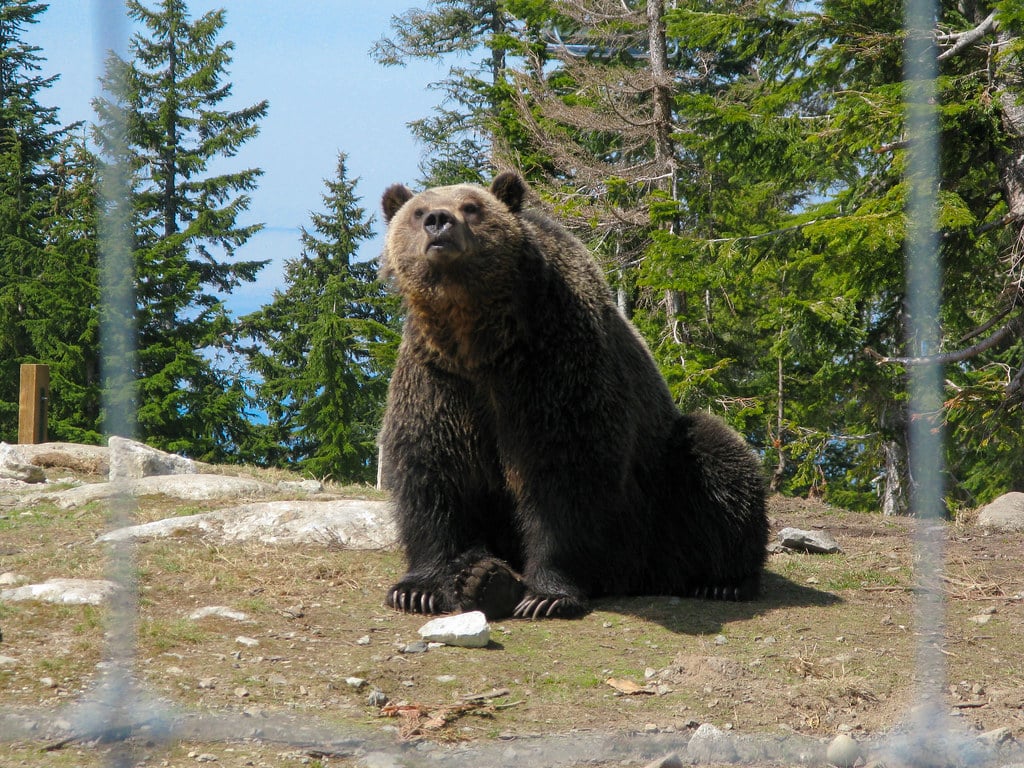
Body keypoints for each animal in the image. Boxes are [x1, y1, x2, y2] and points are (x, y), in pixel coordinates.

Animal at [378, 172, 768, 620]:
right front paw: (417, 589)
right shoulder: (438, 380)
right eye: (419, 211)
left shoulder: (553, 369)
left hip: (662, 490)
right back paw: (482, 579)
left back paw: (724, 581)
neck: (481, 344)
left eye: (471, 207)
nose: (439, 222)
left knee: (717, 462)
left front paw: (546, 595)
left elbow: (564, 477)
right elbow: (430, 472)